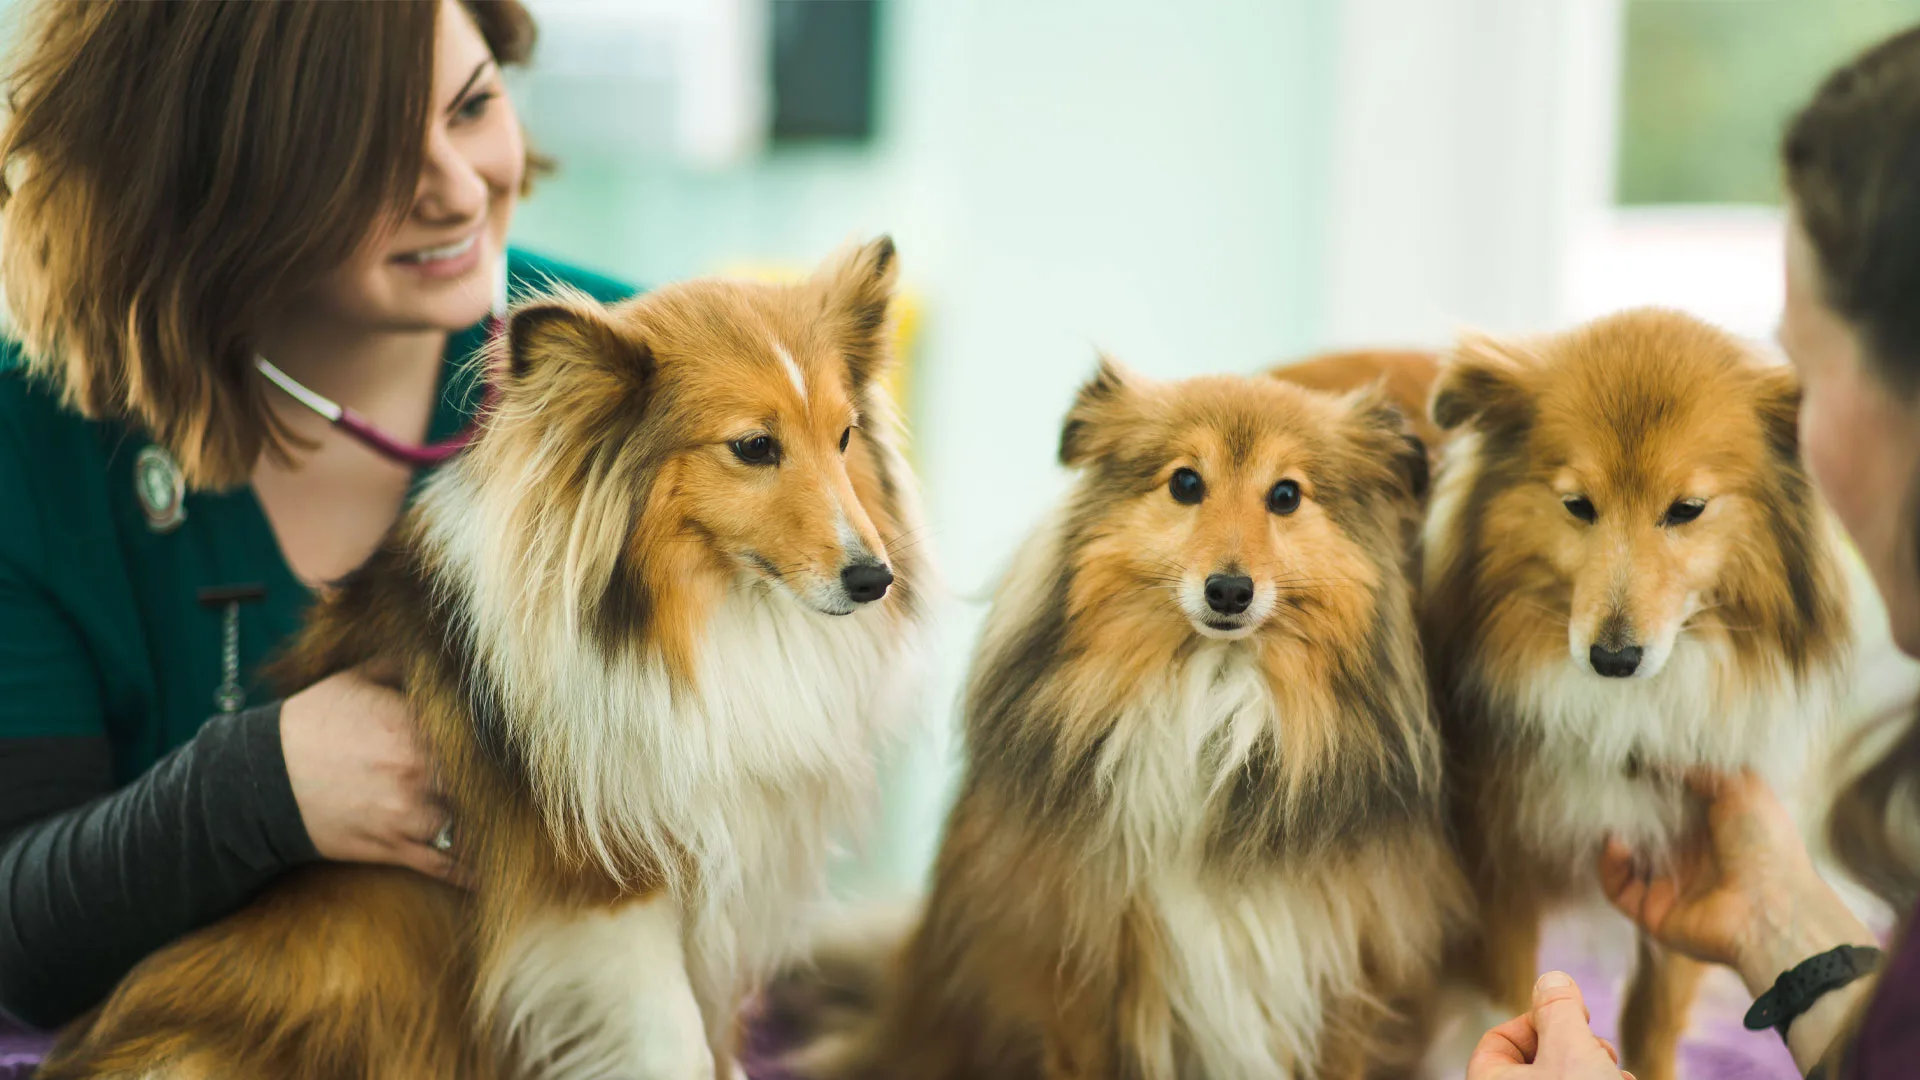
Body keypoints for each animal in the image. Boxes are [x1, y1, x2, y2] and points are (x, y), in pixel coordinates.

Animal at [48, 237, 933, 1076]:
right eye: (753, 447)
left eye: (845, 436)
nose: (875, 578)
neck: (708, 615)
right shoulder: (606, 888)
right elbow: (677, 1044)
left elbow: (716, 1037)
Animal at [798, 359, 1466, 1076]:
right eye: (1186, 482)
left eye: (1286, 495)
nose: (1229, 591)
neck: (1214, 691)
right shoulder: (1078, 964)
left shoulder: (1344, 975)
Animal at [1436, 305, 1850, 1076]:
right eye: (1577, 505)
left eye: (1687, 508)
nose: (1613, 658)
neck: (1618, 711)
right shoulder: (1494, 875)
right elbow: (1509, 994)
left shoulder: (1687, 848)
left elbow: (1652, 1017)